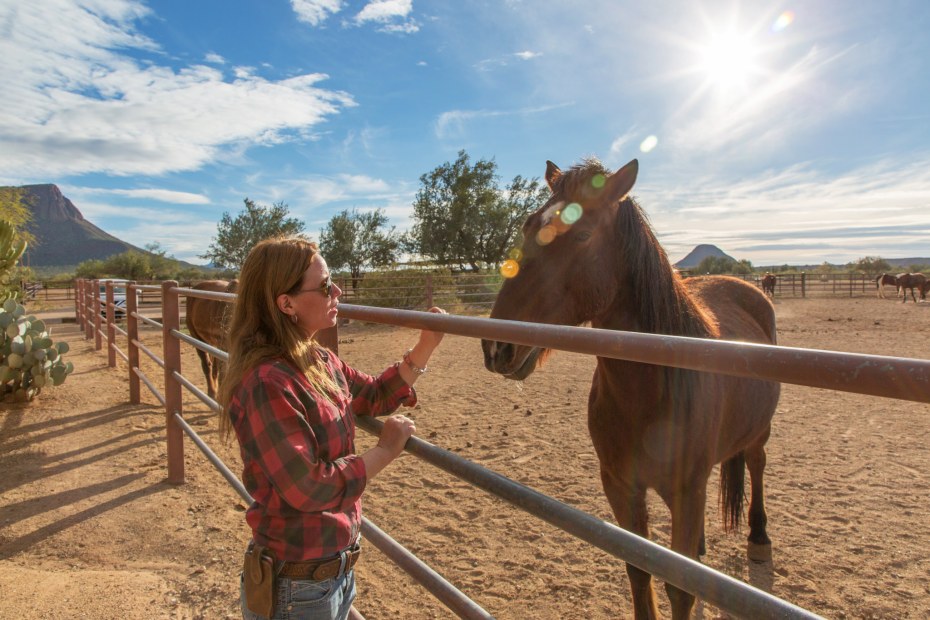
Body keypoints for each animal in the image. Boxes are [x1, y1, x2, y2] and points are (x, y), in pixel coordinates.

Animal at [482, 157, 780, 616]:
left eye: (582, 234)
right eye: (528, 226)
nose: (497, 345)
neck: (648, 395)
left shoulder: (685, 491)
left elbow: (681, 589)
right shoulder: (621, 486)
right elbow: (639, 572)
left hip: (758, 433)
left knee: (757, 464)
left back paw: (759, 538)